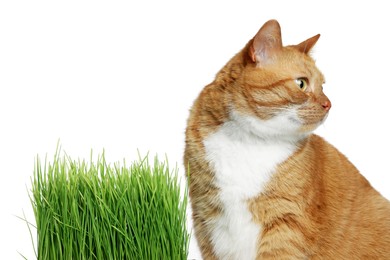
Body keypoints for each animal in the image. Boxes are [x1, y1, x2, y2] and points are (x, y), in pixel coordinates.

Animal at [184, 19, 390, 258]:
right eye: (302, 83)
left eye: (323, 86)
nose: (328, 104)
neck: (249, 140)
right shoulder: (207, 218)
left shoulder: (286, 224)